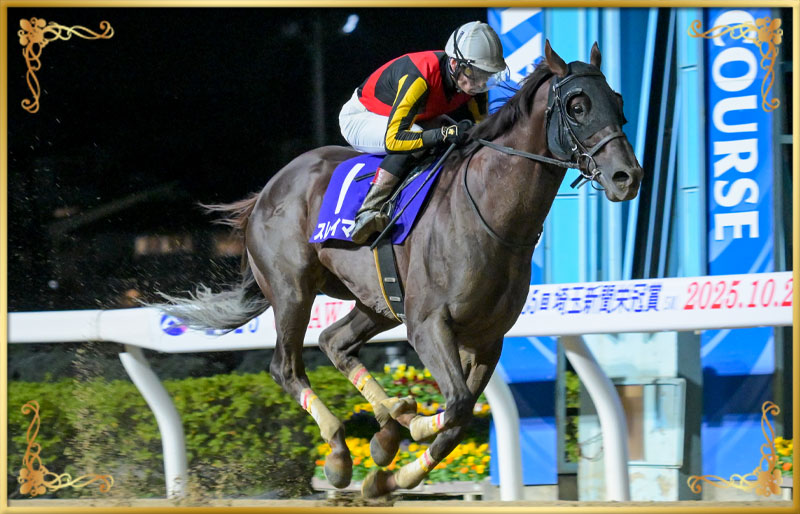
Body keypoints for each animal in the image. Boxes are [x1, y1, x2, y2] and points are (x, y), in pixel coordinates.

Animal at [157, 41, 643, 498]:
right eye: (577, 105)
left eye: (618, 100)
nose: (628, 176)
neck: (489, 213)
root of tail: (265, 192)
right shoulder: (428, 324)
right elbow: (457, 405)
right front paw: (411, 429)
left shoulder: (488, 339)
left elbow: (458, 422)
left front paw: (390, 473)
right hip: (293, 291)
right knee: (286, 368)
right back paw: (342, 449)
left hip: (377, 301)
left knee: (334, 342)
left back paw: (388, 423)